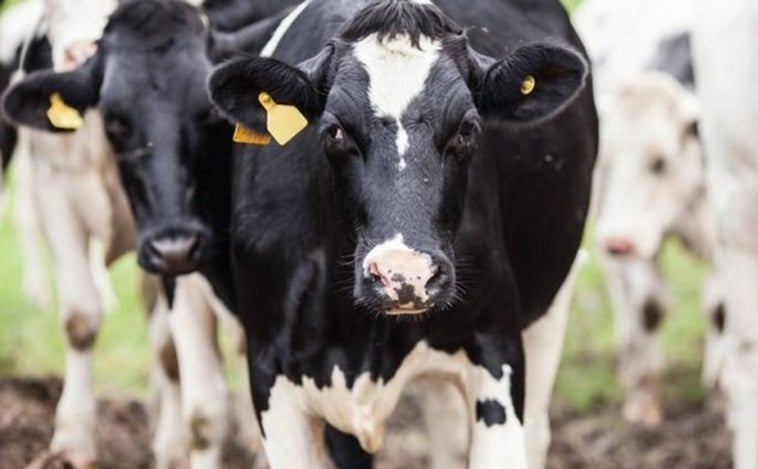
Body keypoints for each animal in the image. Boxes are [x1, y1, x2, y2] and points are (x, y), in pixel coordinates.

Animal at [576, 0, 732, 426]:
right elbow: (649, 307)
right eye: (603, 159)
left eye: (660, 161)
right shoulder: (636, 237)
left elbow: (719, 310)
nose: (617, 241)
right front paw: (644, 396)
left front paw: (720, 390)